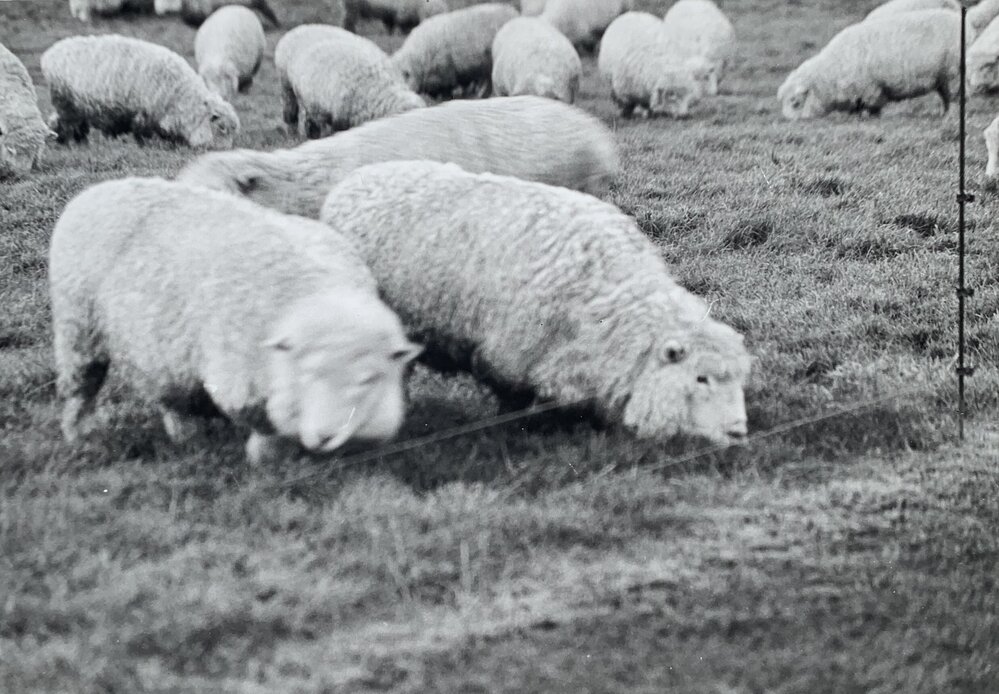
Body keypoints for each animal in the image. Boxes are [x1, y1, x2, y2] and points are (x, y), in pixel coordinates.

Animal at [42, 34, 240, 148]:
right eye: (221, 128)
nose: (224, 151)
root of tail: (50, 54)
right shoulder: (144, 113)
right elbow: (142, 133)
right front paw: (147, 146)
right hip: (67, 103)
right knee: (66, 125)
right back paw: (70, 144)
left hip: (78, 106)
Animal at [50, 177, 420, 464]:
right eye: (309, 374)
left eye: (368, 380)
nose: (326, 437)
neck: (319, 294)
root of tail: (102, 187)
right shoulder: (242, 378)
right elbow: (265, 426)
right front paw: (266, 459)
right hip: (79, 329)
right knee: (82, 389)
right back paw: (81, 435)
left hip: (158, 341)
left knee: (169, 393)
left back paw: (184, 434)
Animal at [319, 161, 752, 446]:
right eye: (701, 378)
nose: (738, 432)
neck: (614, 297)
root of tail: (356, 178)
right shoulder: (511, 354)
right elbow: (513, 398)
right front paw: (520, 429)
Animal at [777, 10, 960, 120]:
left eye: (795, 103)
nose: (791, 121)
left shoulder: (871, 89)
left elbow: (873, 106)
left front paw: (871, 117)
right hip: (942, 79)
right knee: (946, 97)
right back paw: (944, 114)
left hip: (954, 74)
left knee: (954, 98)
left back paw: (951, 115)